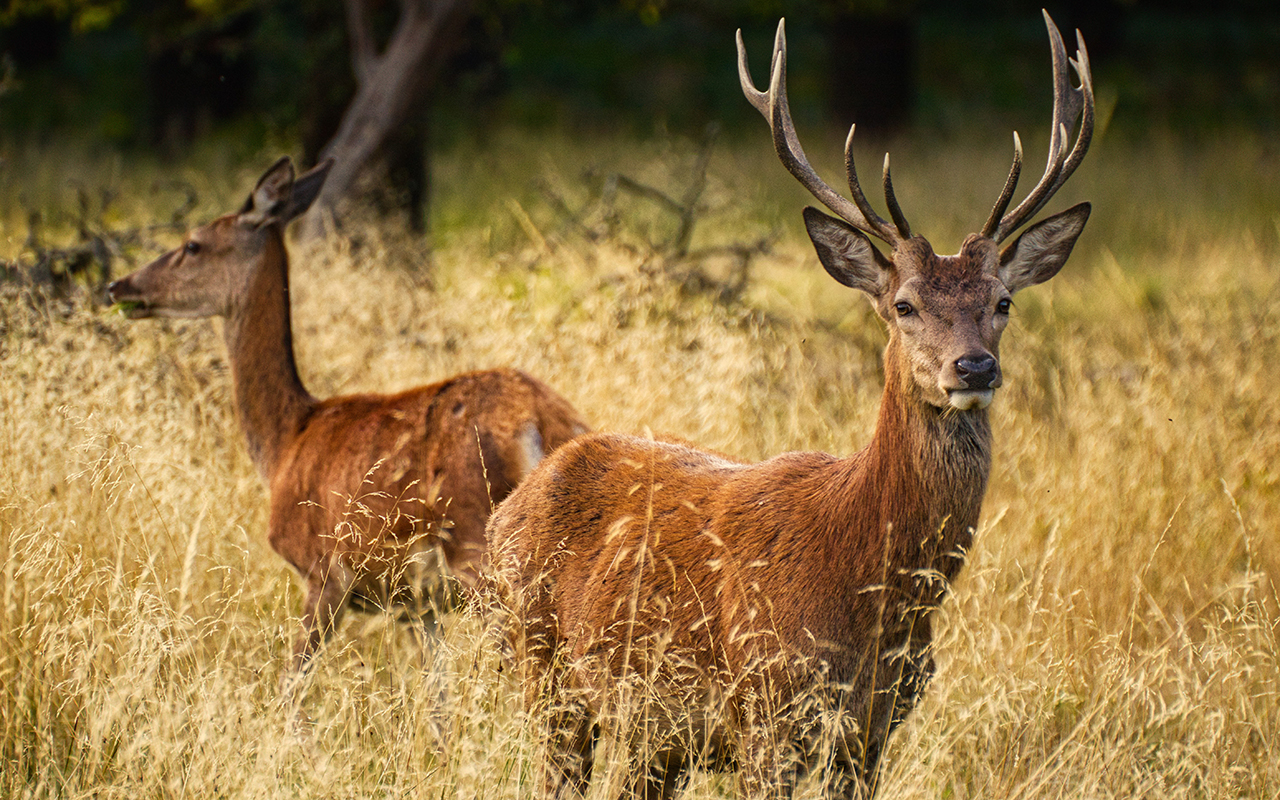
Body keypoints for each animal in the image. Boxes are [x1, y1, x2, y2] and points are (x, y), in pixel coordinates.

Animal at [107, 157, 586, 686]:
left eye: (192, 244)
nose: (119, 286)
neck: (286, 441)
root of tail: (542, 421)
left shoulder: (324, 572)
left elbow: (291, 684)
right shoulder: (418, 606)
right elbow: (435, 694)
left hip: (479, 546)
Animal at [483, 12, 1095, 798]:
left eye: (1003, 302)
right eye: (904, 305)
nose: (975, 366)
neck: (870, 591)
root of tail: (510, 506)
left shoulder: (874, 730)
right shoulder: (765, 708)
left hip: (652, 734)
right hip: (543, 671)